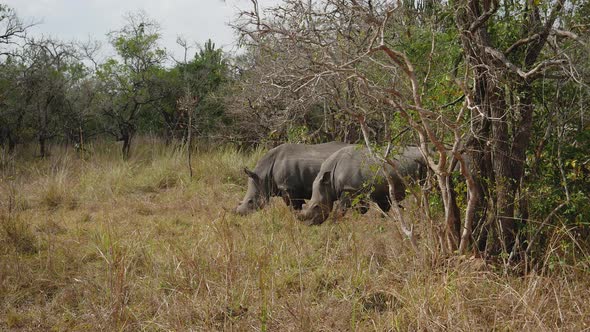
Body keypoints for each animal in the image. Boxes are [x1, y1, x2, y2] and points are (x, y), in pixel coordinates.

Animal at [298, 146, 428, 226]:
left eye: (316, 206)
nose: (309, 225)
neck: (328, 180)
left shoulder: (348, 189)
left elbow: (340, 210)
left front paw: (333, 224)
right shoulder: (374, 191)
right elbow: (373, 210)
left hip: (424, 164)